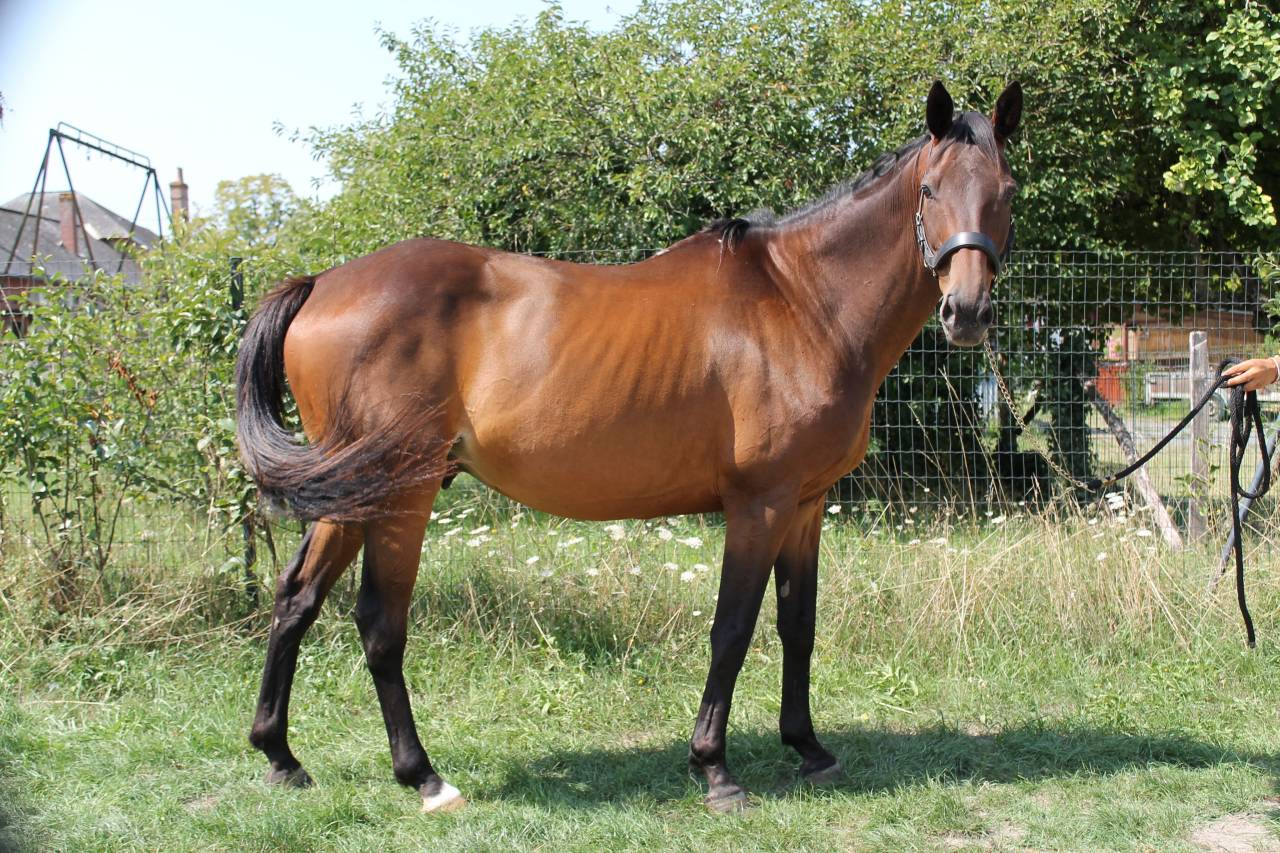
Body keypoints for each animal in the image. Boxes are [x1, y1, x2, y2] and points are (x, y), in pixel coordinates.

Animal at [235, 80, 1022, 813]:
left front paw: (808, 747)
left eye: (1006, 192)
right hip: (403, 491)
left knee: (296, 597)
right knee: (379, 621)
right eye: (929, 189)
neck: (801, 302)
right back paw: (423, 775)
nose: (967, 311)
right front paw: (714, 767)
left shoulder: (806, 503)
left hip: (351, 492)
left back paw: (280, 756)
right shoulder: (760, 504)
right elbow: (732, 628)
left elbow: (797, 624)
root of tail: (320, 284)